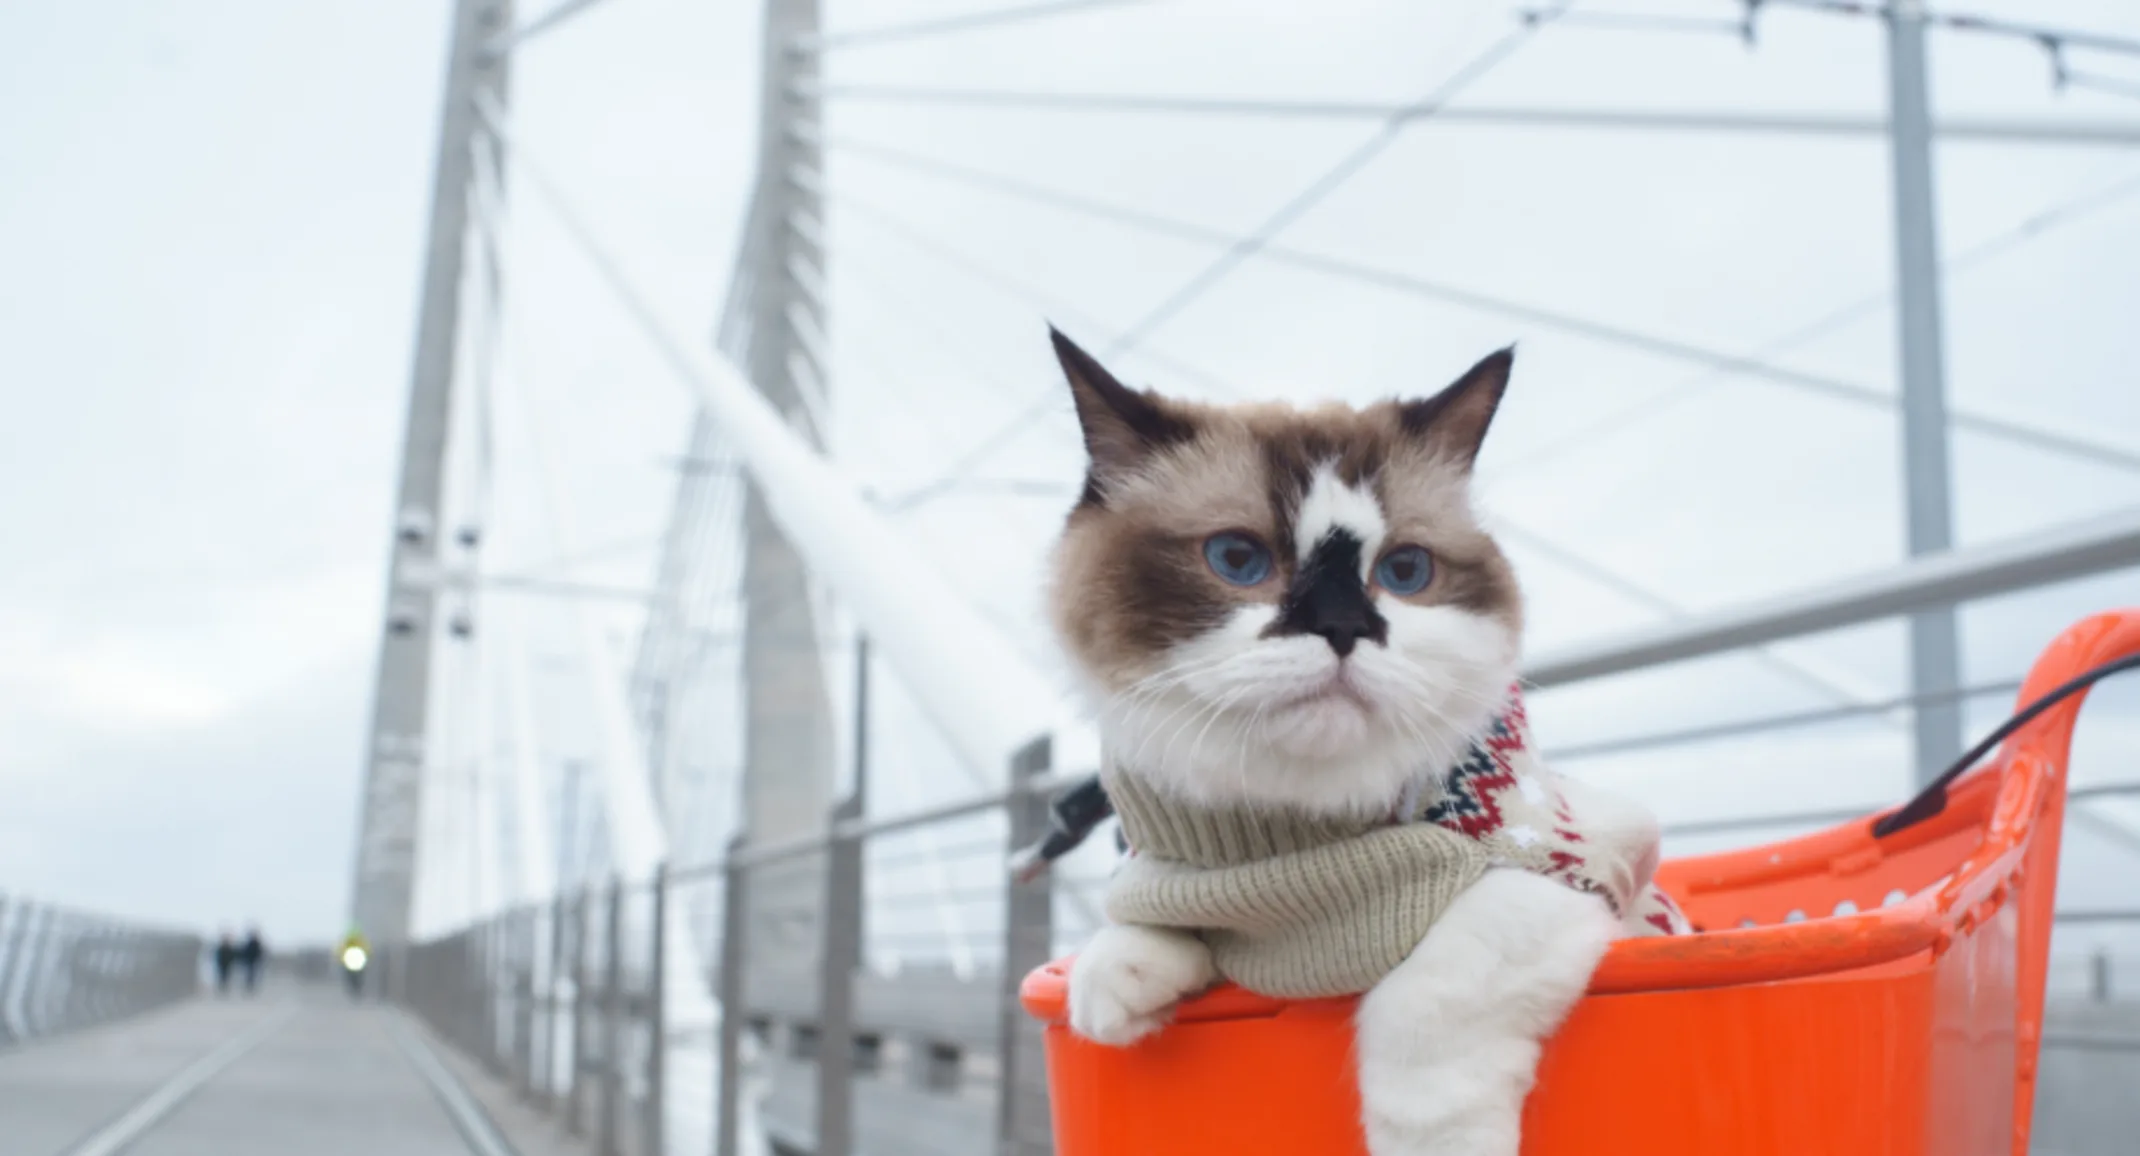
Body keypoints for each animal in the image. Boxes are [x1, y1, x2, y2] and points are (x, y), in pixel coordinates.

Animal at [1044, 325, 1677, 1156]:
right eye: (1237, 560)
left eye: (1404, 571)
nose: (1344, 628)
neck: (1299, 843)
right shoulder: (1189, 876)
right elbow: (1143, 915)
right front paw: (1117, 987)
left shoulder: (1573, 873)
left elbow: (1430, 1000)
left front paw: (1435, 1141)